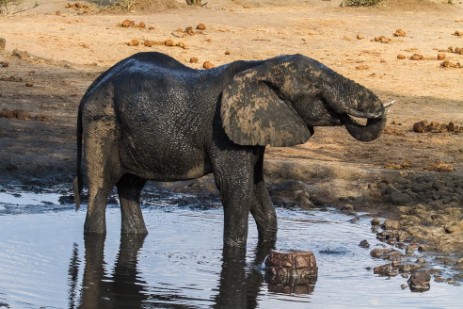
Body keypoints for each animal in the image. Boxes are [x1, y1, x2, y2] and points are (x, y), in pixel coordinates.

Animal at [74, 51, 394, 247]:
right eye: (317, 86)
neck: (263, 64)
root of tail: (93, 86)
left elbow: (255, 186)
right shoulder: (223, 132)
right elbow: (236, 188)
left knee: (130, 186)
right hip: (102, 122)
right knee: (101, 186)